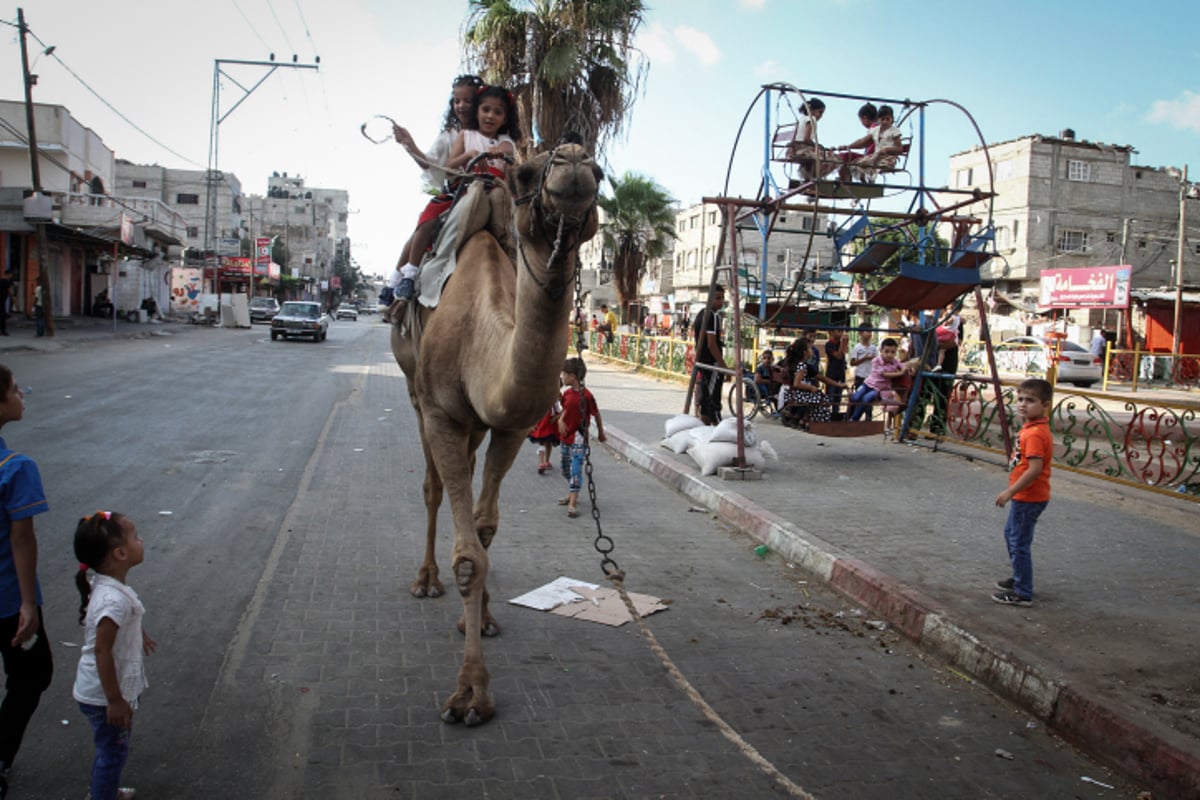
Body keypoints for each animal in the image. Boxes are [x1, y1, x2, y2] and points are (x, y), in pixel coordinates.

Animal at [391, 143, 600, 724]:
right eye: (524, 174)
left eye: (600, 175)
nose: (574, 158)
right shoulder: (440, 411)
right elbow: (467, 556)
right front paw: (469, 694)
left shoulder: (508, 424)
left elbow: (484, 530)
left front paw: (480, 620)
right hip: (415, 393)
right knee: (432, 486)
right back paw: (425, 580)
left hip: (473, 425)